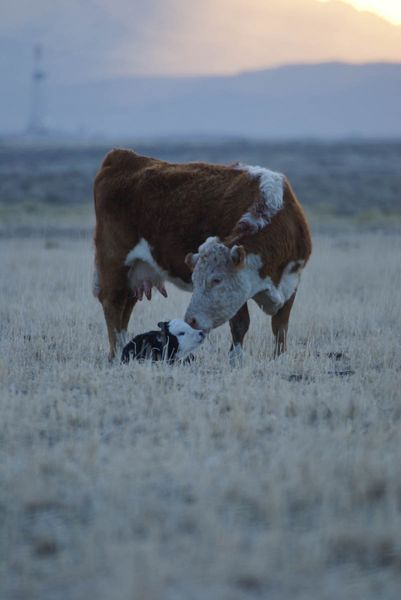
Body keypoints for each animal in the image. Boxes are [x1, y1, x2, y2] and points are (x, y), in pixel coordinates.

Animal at [92, 149, 310, 360]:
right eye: (195, 279)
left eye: (217, 280)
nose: (191, 320)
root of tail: (122, 155)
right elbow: (240, 325)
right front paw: (236, 359)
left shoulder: (292, 282)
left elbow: (280, 327)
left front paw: (280, 357)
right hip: (114, 263)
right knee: (112, 304)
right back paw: (116, 353)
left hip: (136, 274)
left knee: (125, 308)